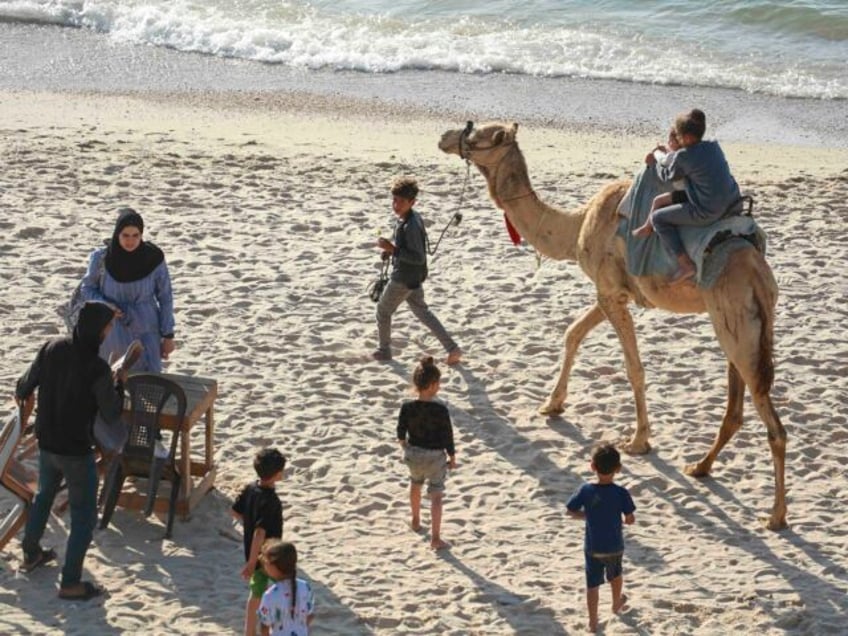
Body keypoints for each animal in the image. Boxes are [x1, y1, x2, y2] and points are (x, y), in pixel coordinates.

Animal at [438, 121, 788, 528]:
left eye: (476, 135)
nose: (445, 137)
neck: (576, 226)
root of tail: (759, 275)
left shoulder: (610, 292)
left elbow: (632, 367)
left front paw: (638, 441)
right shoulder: (609, 292)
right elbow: (572, 333)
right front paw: (552, 404)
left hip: (736, 321)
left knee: (771, 420)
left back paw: (775, 515)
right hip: (742, 327)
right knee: (736, 407)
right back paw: (700, 466)